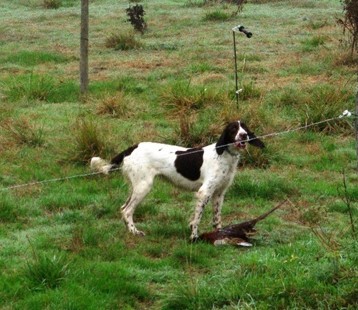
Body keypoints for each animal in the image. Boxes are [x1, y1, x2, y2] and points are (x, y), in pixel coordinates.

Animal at [91, 120, 264, 240]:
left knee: (123, 208)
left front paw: (219, 236)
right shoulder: (204, 192)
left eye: (244, 128)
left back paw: (130, 231)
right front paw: (194, 237)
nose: (244, 135)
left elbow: (217, 219)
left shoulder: (219, 194)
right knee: (127, 211)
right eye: (233, 128)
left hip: (137, 186)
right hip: (144, 186)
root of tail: (131, 148)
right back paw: (135, 232)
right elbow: (197, 219)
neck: (224, 155)